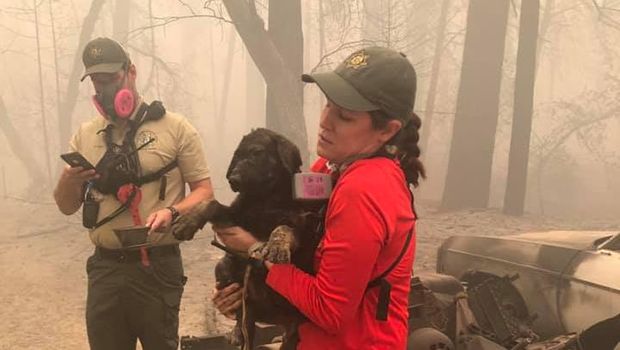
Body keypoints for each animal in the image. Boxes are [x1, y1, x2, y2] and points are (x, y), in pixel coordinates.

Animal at [172, 129, 322, 350]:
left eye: (257, 152)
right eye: (237, 156)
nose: (233, 179)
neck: (265, 200)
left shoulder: (301, 227)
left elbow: (284, 227)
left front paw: (276, 246)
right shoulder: (233, 218)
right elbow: (211, 204)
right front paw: (187, 222)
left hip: (295, 319)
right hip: (228, 273)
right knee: (242, 318)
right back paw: (237, 333)